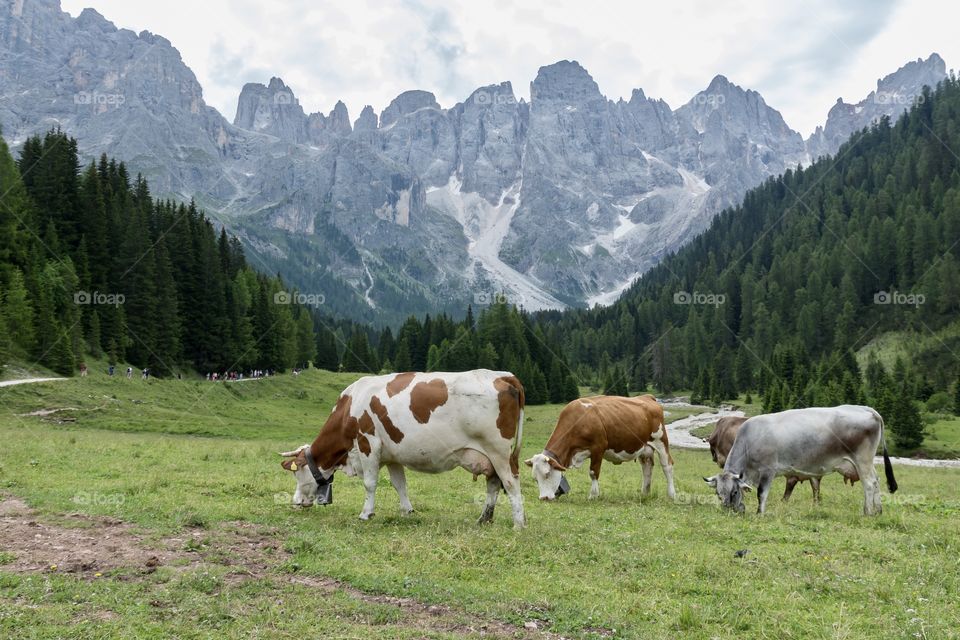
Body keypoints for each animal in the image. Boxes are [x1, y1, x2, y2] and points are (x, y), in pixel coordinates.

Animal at [279, 370, 527, 528]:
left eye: (297, 473)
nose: (296, 502)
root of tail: (502, 375)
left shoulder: (368, 443)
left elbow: (370, 483)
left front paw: (366, 513)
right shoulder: (392, 456)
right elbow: (400, 484)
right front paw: (407, 511)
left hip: (499, 452)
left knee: (510, 483)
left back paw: (518, 524)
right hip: (490, 456)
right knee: (493, 483)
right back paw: (484, 519)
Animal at [525, 394, 675, 501]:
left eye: (547, 474)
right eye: (535, 478)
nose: (544, 498)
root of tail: (647, 397)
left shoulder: (598, 448)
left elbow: (593, 472)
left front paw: (593, 495)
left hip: (661, 441)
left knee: (667, 466)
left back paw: (672, 494)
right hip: (644, 448)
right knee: (647, 468)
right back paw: (644, 493)